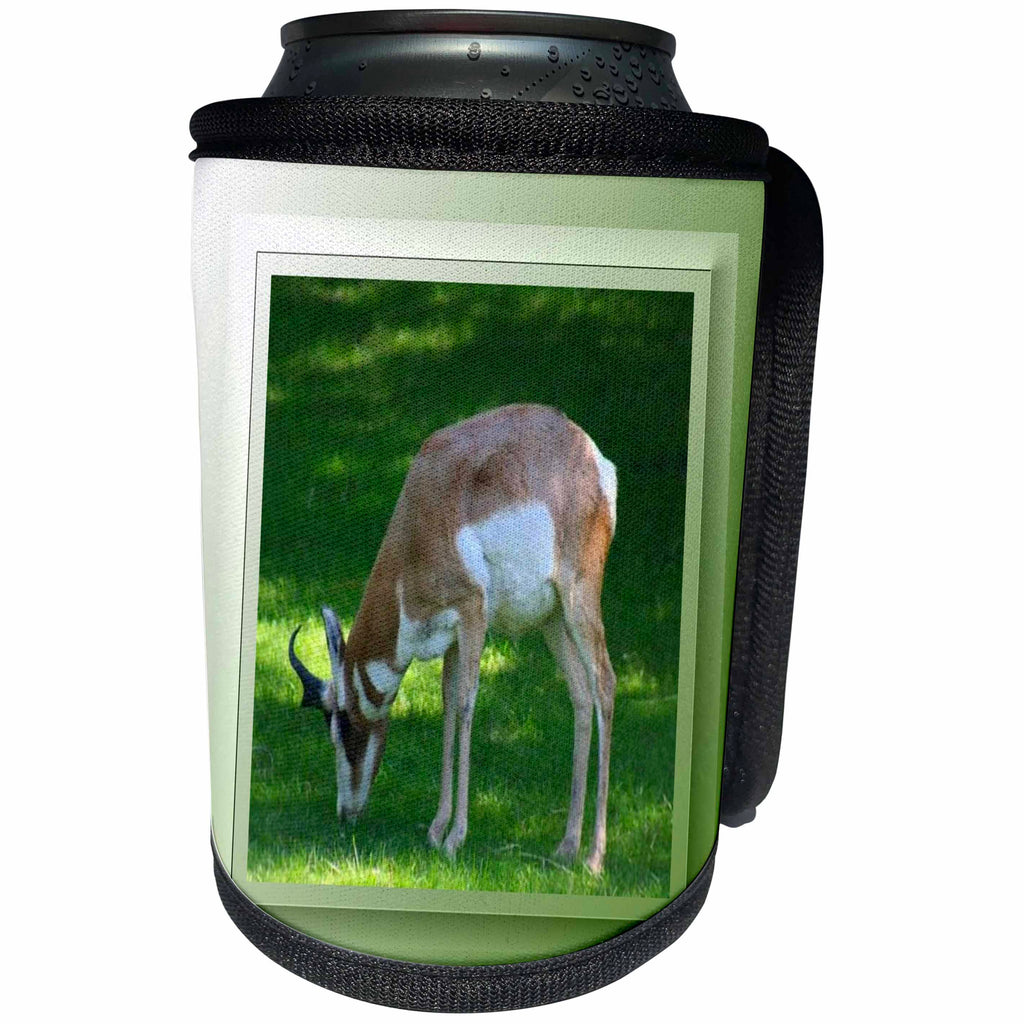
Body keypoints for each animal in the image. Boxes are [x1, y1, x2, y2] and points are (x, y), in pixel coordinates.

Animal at [288, 404, 618, 873]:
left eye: (345, 726)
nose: (345, 813)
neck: (420, 522)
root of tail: (590, 454)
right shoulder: (451, 639)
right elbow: (446, 706)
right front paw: (435, 828)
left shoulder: (473, 614)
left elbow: (465, 706)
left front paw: (455, 838)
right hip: (552, 620)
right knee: (580, 693)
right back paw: (566, 847)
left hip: (578, 601)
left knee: (604, 683)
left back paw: (594, 858)